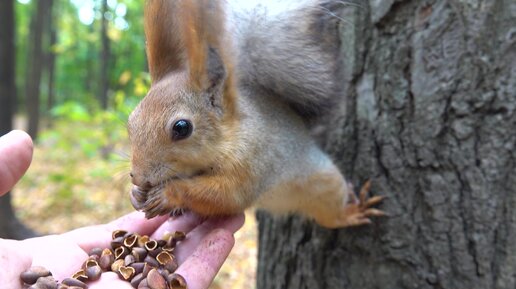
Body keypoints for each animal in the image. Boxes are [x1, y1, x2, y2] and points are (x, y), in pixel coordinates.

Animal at [128, 0, 388, 228]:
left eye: (182, 128)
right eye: (130, 122)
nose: (139, 177)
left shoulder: (253, 160)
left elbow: (226, 196)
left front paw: (167, 194)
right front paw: (136, 194)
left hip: (325, 183)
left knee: (331, 217)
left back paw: (353, 212)